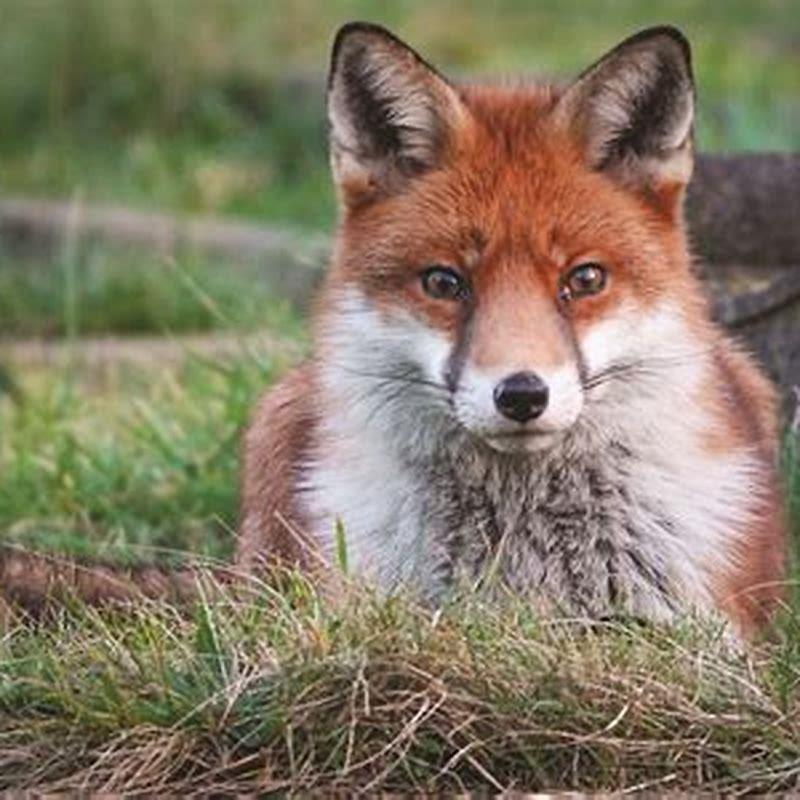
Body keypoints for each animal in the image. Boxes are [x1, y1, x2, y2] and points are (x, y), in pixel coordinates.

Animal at [1, 23, 786, 639]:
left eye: (584, 279)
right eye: (444, 283)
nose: (522, 395)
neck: (522, 555)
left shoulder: (707, 637)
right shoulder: (350, 609)